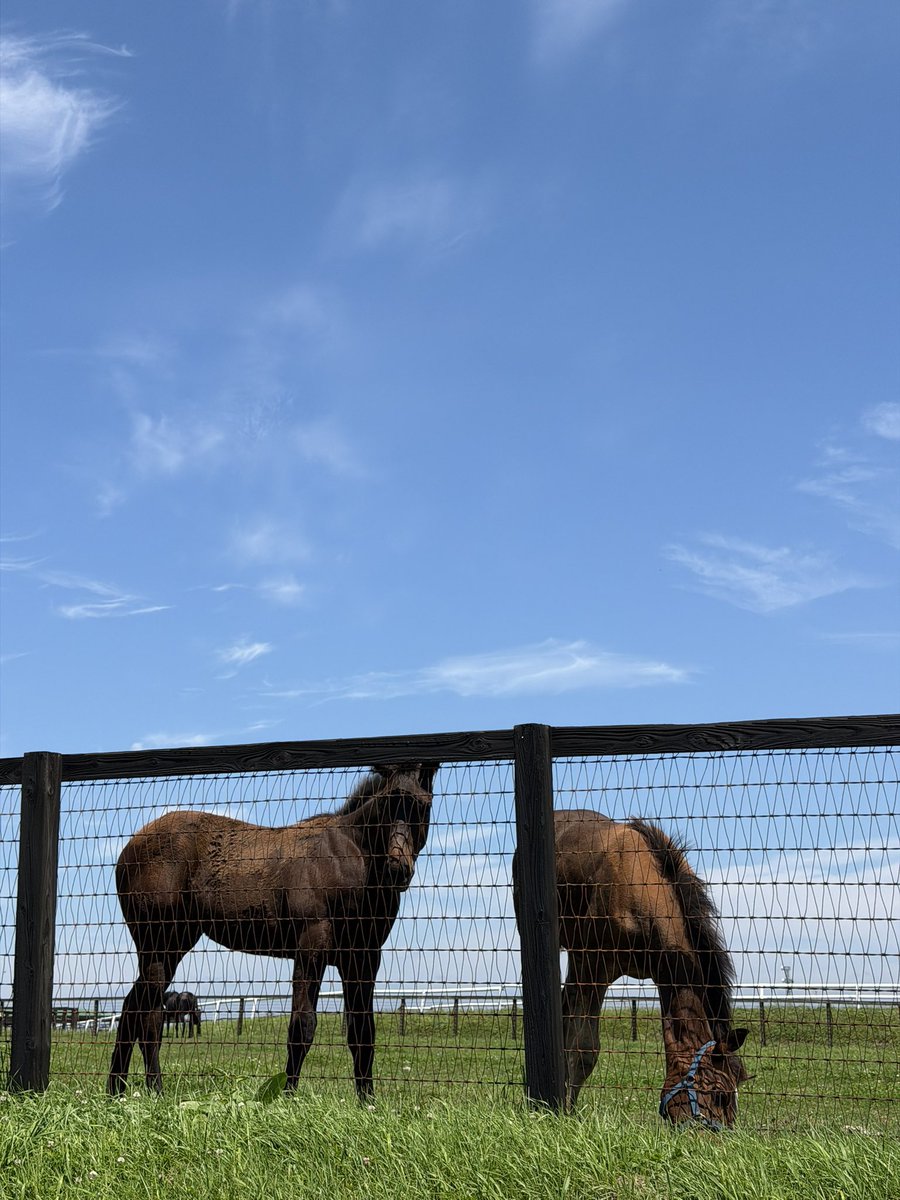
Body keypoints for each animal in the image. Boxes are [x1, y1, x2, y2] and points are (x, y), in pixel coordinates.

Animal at [108, 762, 438, 1097]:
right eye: (386, 805)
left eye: (423, 805)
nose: (397, 869)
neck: (348, 859)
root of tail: (128, 849)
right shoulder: (311, 946)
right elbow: (302, 1025)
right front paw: (288, 1095)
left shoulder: (362, 957)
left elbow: (363, 1032)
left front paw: (366, 1100)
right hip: (158, 943)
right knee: (149, 1017)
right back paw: (155, 1089)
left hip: (174, 944)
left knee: (132, 1008)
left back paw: (117, 1089)